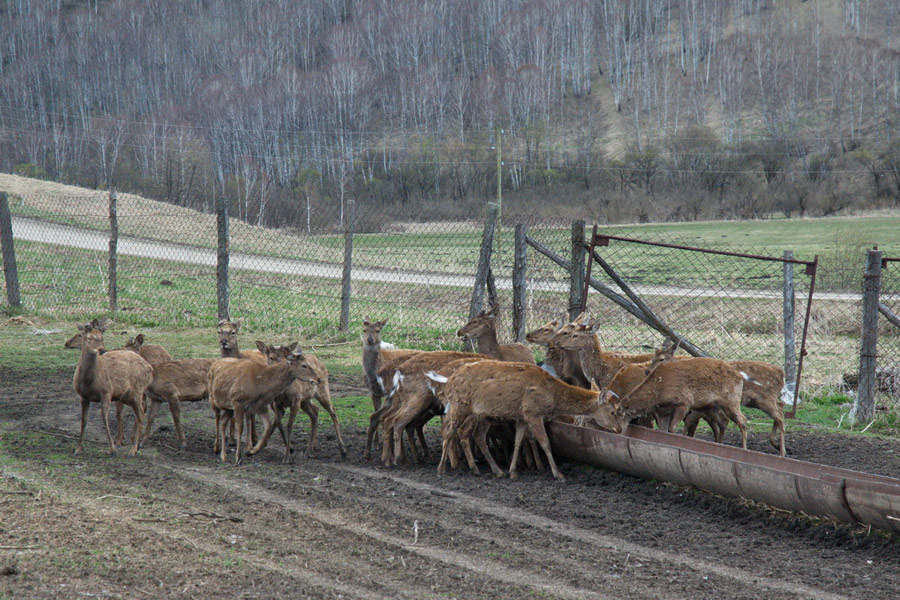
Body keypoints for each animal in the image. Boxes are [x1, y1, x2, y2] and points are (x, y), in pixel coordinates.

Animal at [72, 322, 151, 458]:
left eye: (101, 337)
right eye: (89, 338)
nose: (101, 350)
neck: (88, 381)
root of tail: (150, 368)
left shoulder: (106, 392)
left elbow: (104, 418)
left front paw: (112, 449)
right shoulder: (83, 396)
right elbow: (84, 420)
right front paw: (78, 449)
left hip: (137, 390)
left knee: (141, 413)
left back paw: (133, 449)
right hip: (126, 395)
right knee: (141, 409)